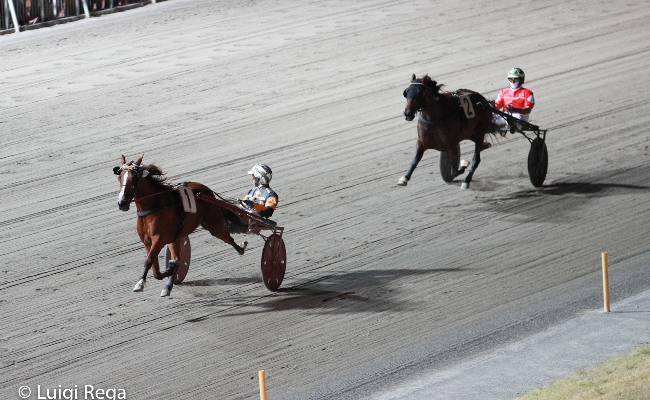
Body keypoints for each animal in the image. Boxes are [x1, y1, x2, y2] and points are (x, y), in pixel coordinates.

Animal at [111, 156, 246, 296]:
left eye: (134, 178)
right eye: (119, 176)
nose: (122, 203)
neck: (153, 207)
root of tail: (205, 190)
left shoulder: (159, 239)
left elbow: (149, 261)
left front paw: (140, 284)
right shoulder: (148, 242)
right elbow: (156, 269)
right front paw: (168, 270)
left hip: (214, 225)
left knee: (227, 237)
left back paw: (241, 247)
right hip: (176, 236)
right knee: (177, 255)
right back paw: (168, 285)